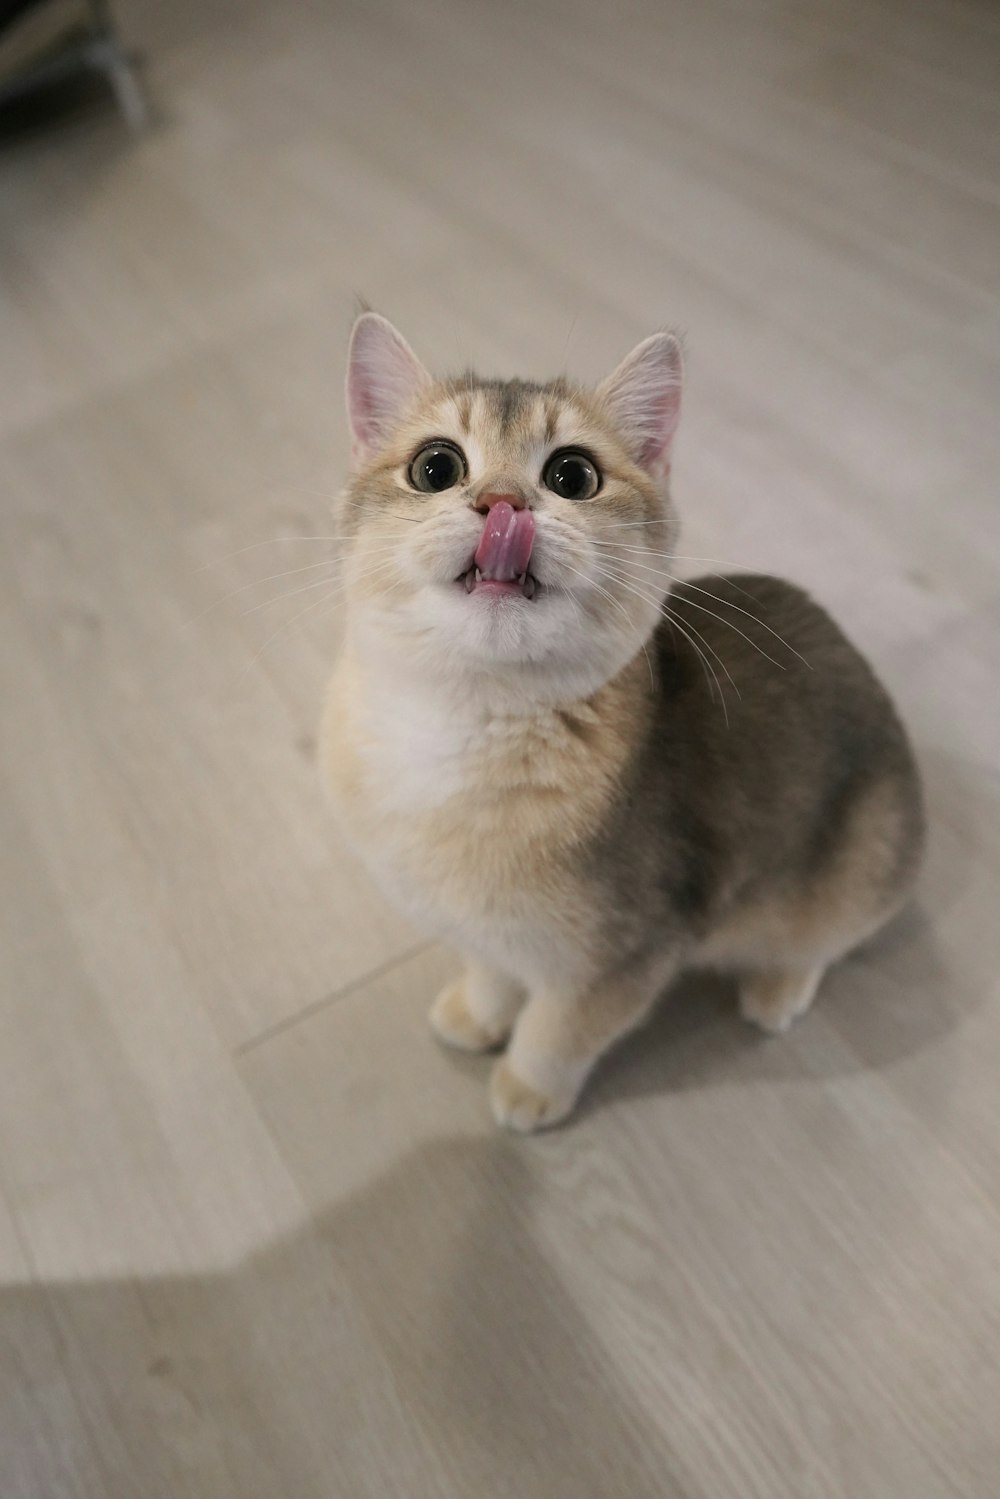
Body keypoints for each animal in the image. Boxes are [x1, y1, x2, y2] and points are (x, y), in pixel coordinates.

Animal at [320, 310, 923, 1127]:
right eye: (435, 468)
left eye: (572, 476)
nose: (503, 504)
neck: (466, 724)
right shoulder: (480, 926)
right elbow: (492, 967)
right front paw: (480, 1012)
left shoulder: (627, 954)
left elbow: (558, 1027)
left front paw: (529, 1086)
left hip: (861, 863)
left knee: (826, 938)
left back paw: (778, 987)